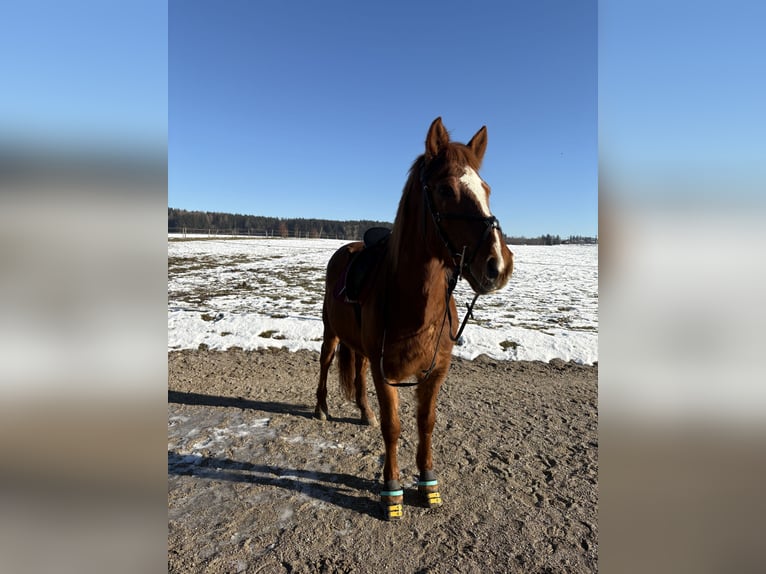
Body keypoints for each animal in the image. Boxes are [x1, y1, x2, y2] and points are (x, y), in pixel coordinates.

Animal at [312, 117, 516, 520]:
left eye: (486, 189)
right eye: (445, 189)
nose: (498, 264)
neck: (415, 304)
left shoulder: (434, 373)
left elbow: (426, 423)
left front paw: (427, 483)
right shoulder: (385, 371)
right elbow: (393, 426)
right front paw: (392, 491)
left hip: (361, 349)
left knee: (357, 375)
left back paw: (364, 412)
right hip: (332, 334)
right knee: (326, 364)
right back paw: (322, 409)